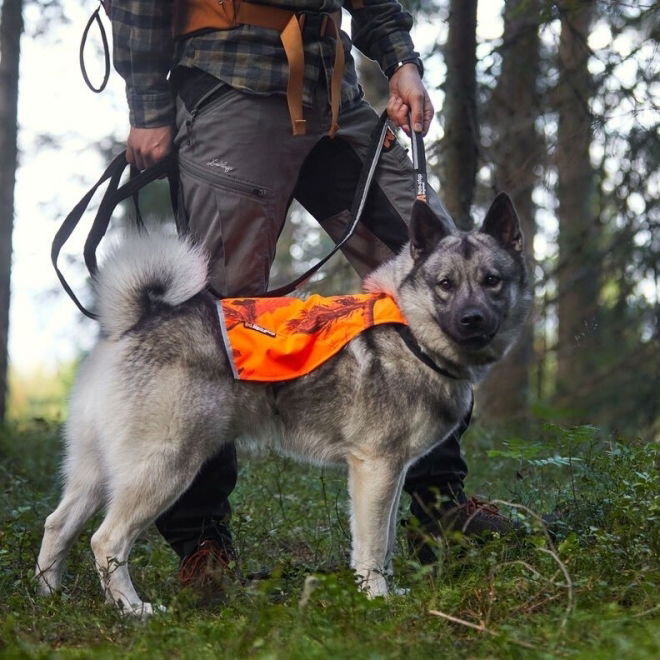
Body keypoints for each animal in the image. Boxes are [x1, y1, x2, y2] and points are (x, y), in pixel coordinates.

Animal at [34, 192, 532, 612]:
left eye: (492, 281)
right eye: (445, 284)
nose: (472, 319)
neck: (409, 329)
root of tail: (136, 321)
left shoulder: (390, 474)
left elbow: (387, 540)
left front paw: (385, 590)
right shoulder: (376, 468)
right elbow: (373, 546)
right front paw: (376, 599)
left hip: (94, 472)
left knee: (57, 525)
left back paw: (49, 598)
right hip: (165, 468)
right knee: (106, 541)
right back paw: (132, 610)